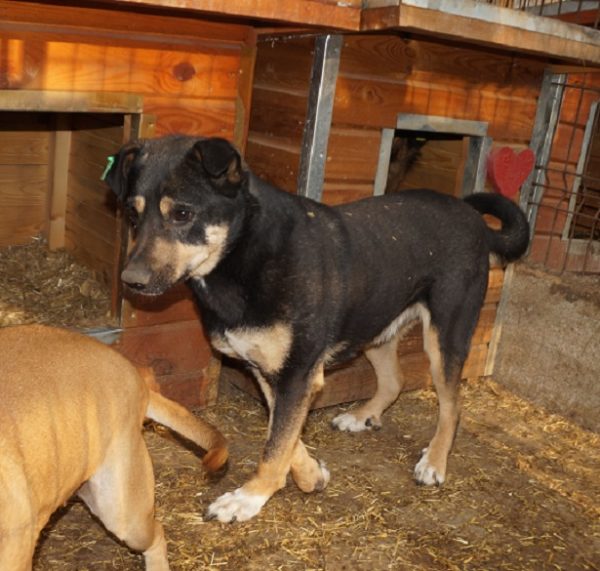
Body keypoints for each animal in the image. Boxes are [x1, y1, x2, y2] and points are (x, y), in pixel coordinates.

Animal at [105, 136, 528, 524]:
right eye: (132, 216)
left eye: (182, 213)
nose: (131, 280)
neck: (242, 254)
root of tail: (471, 216)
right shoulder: (273, 373)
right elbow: (286, 438)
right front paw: (311, 476)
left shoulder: (298, 374)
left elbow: (276, 445)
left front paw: (248, 498)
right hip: (373, 322)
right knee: (395, 379)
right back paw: (361, 416)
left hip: (446, 334)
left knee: (453, 407)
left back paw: (435, 461)